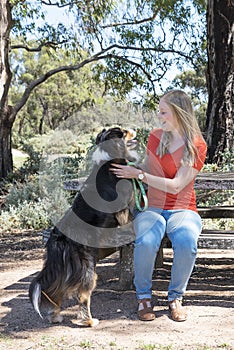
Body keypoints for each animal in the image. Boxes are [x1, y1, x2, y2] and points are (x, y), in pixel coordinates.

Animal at [29, 127, 139, 326]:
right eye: (123, 132)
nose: (135, 129)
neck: (109, 161)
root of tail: (57, 239)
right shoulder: (124, 207)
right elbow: (129, 218)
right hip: (87, 267)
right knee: (82, 295)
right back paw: (89, 321)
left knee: (55, 291)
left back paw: (55, 316)